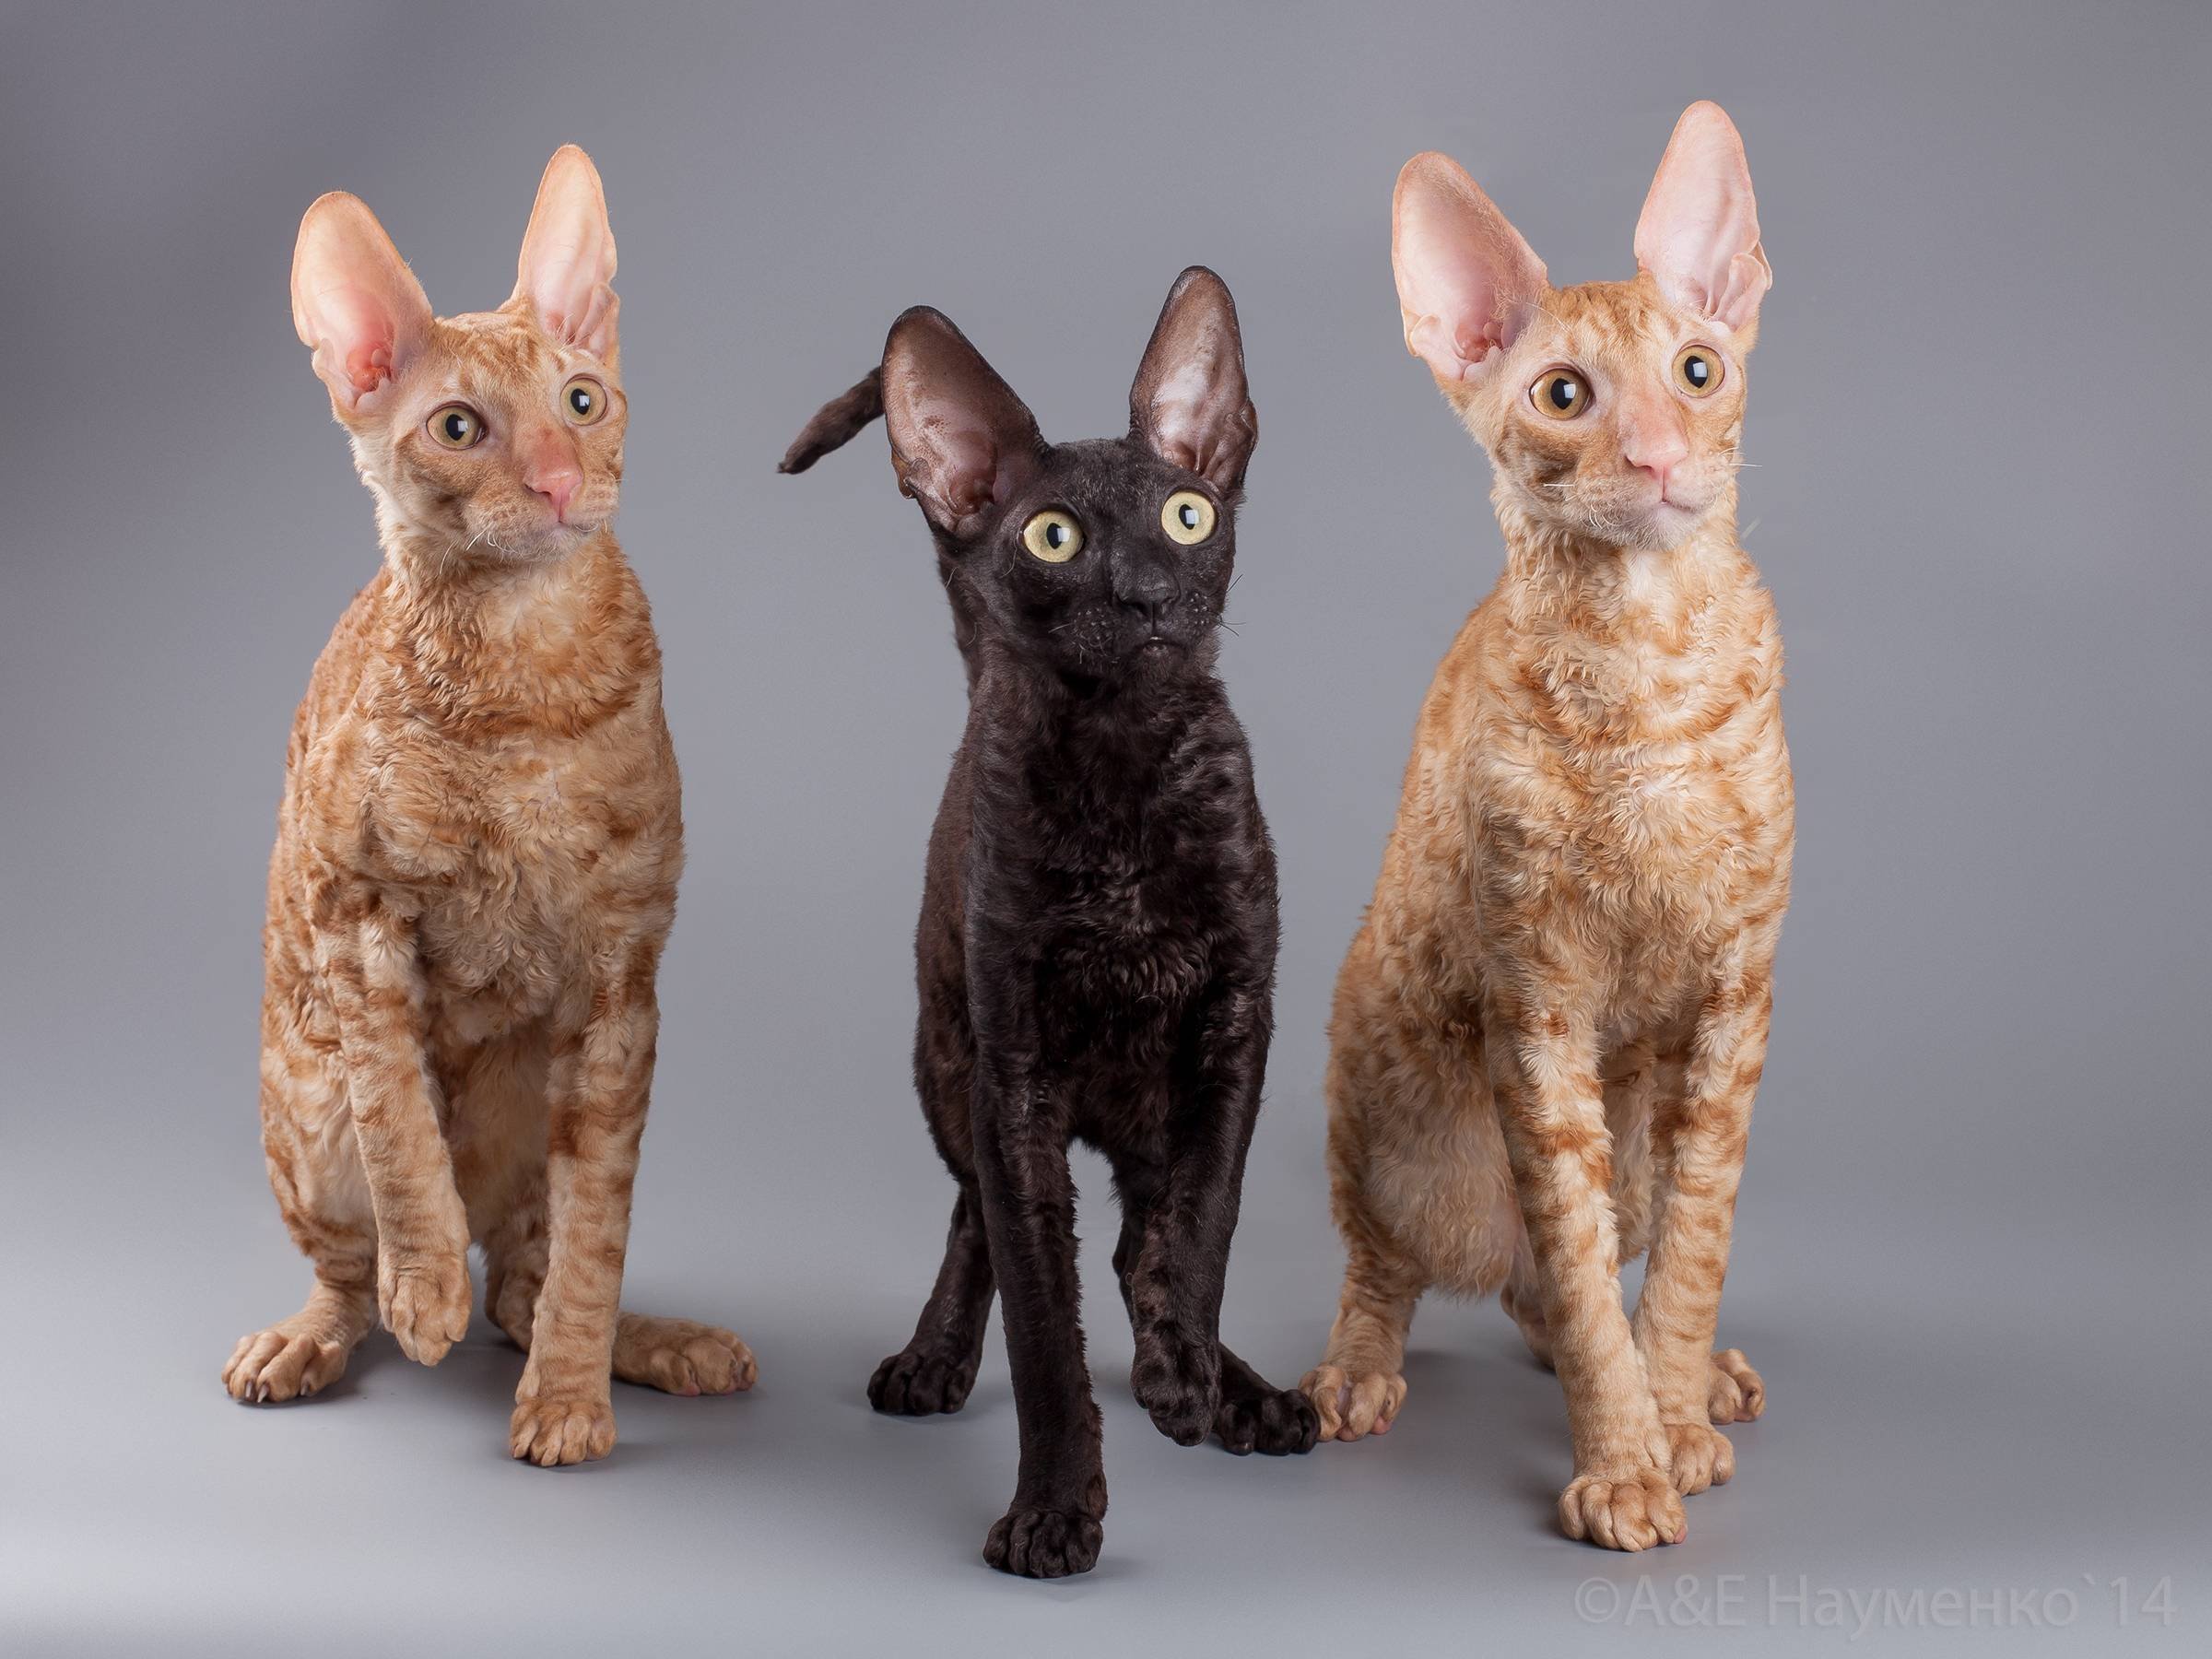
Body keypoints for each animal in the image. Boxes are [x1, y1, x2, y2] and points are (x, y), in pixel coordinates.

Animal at [224, 147, 754, 1465]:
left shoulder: (621, 982)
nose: (561, 483)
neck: (526, 687)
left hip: (545, 1082)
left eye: (582, 401)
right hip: (301, 1088)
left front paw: (569, 1397)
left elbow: (596, 1233)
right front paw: (424, 1287)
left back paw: (653, 1344)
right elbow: (400, 1125)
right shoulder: (357, 918)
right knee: (352, 1264)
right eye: (458, 429)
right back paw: (323, 1330)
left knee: (525, 1272)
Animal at [781, 268, 1318, 1578]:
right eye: (1053, 537)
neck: (1121, 770)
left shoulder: (1238, 1025)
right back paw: (934, 1359)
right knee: (982, 1211)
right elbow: (1040, 1317)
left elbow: (1205, 1227)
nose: (1147, 593)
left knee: (1139, 1240)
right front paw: (1054, 1508)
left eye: (1188, 516)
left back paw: (1235, 1389)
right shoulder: (1013, 1067)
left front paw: (1188, 1377)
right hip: (947, 1060)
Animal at [1301, 103, 1790, 1553]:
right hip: (1399, 1118)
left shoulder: (1734, 1000)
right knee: (1415, 1258)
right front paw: (1626, 1459)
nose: (1661, 456)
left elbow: (1691, 1240)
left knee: (1564, 1266)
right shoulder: (1537, 1004)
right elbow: (1570, 1251)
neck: (1650, 666)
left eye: (1697, 371)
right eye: (1564, 396)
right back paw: (1357, 1371)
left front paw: (1671, 1415)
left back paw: (1691, 1374)